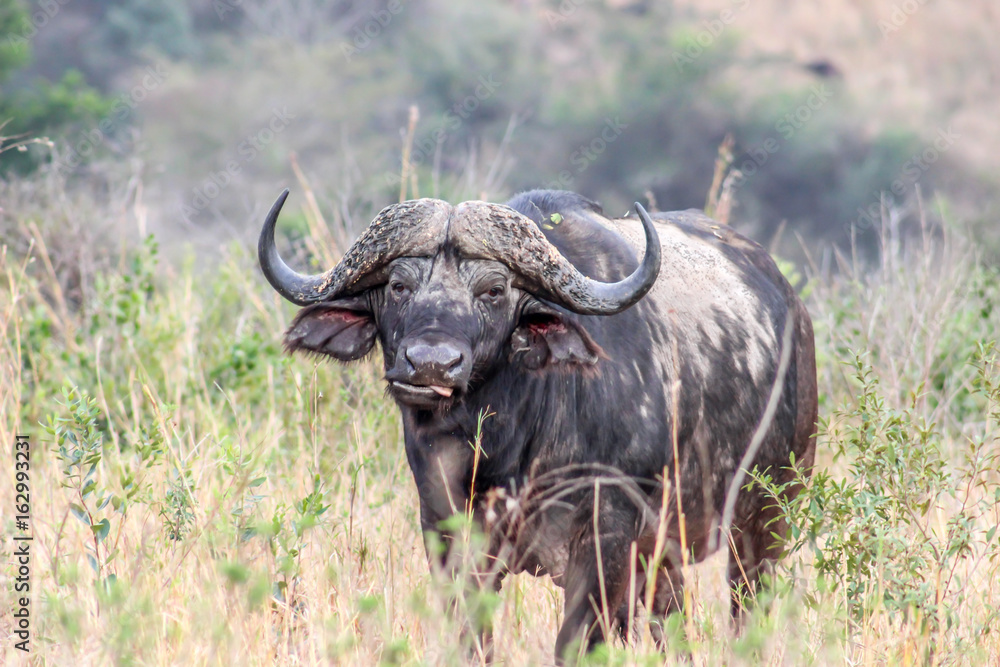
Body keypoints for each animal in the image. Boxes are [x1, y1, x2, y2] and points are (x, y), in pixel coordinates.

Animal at [262, 188, 816, 664]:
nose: (431, 365)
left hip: (765, 521)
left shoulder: (606, 537)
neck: (512, 445)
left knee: (746, 608)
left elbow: (578, 643)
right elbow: (472, 636)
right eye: (399, 286)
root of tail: (794, 312)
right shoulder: (445, 528)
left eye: (493, 290)